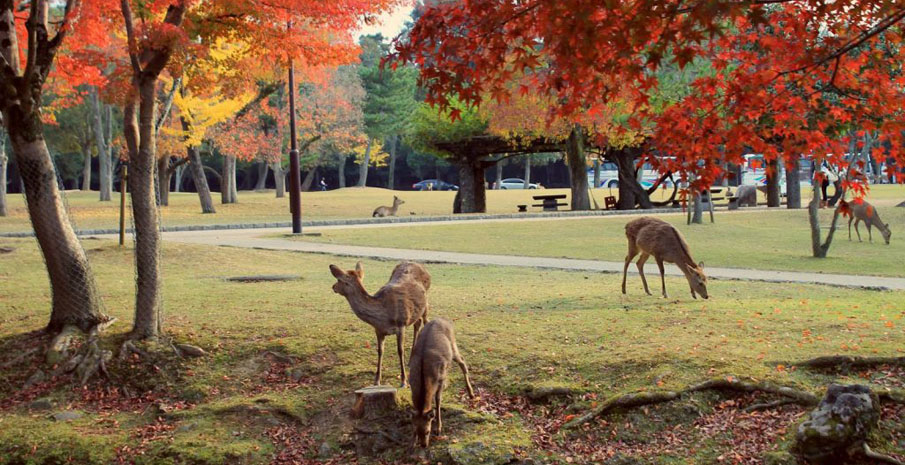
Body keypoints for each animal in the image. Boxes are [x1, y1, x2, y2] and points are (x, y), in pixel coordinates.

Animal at [408, 318, 474, 448]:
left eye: (427, 431)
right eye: (416, 431)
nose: (424, 445)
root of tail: (443, 319)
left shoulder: (440, 378)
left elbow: (438, 400)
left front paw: (438, 428)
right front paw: (412, 442)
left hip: (453, 345)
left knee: (462, 361)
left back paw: (471, 393)